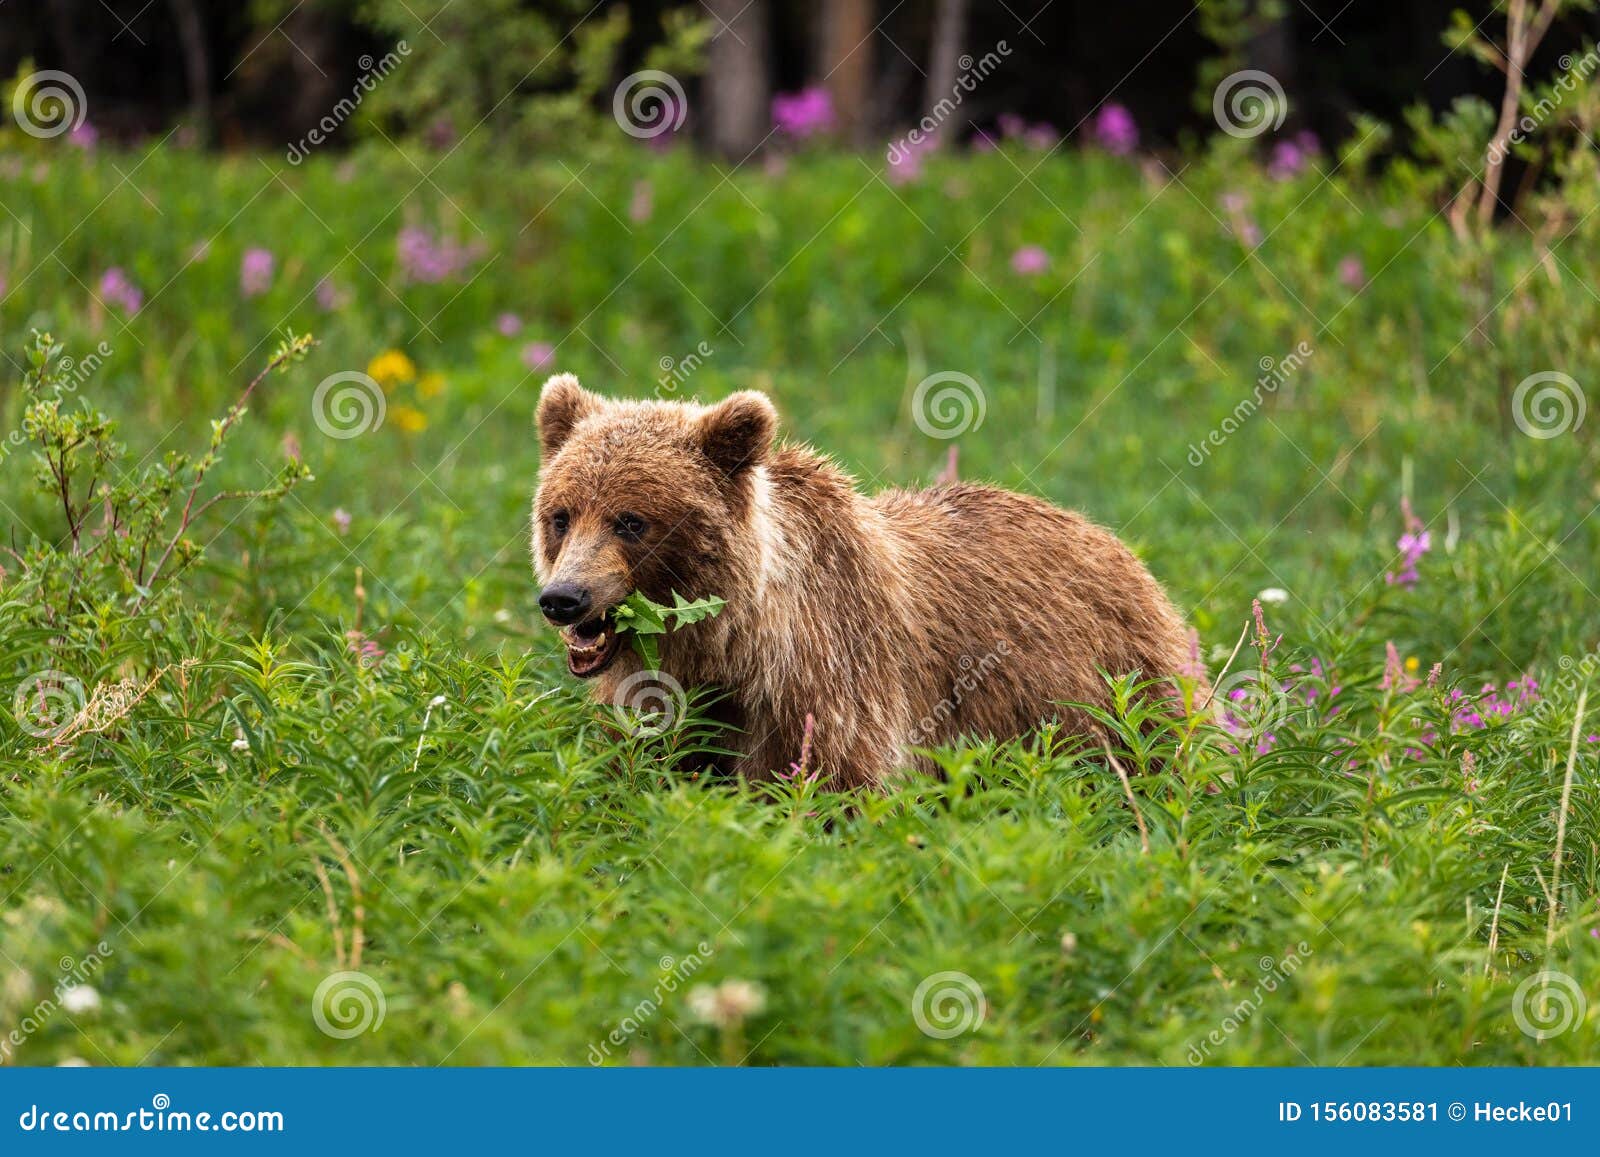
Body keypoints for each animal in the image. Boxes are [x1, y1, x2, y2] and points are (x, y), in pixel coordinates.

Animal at [534, 376, 1203, 790]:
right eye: (561, 514)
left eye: (631, 521)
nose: (563, 598)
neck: (735, 642)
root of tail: (1113, 541)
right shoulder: (674, 697)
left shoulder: (830, 677)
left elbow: (836, 780)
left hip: (1115, 684)